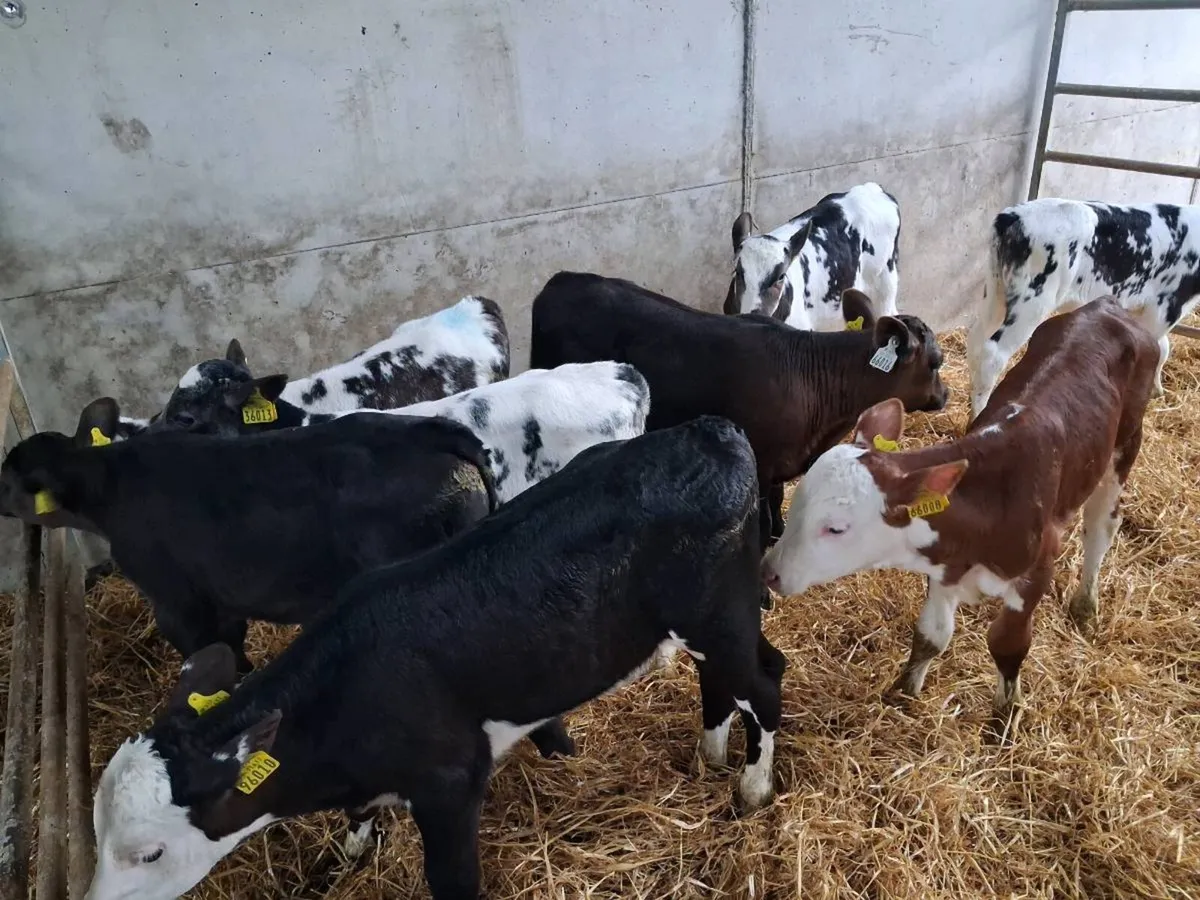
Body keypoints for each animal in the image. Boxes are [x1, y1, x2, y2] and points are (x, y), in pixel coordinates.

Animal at [0, 399, 502, 678]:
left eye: (8, 481)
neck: (110, 484)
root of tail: (437, 431)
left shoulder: (175, 601)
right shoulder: (222, 593)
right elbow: (232, 643)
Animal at [82, 416, 786, 900]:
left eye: (148, 853)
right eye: (95, 833)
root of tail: (708, 431)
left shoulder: (451, 782)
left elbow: (452, 879)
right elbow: (358, 820)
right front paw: (346, 856)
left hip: (719, 615)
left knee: (764, 681)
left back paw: (752, 788)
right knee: (725, 680)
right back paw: (709, 754)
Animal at [530, 271, 948, 552]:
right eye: (936, 361)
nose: (945, 394)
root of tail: (562, 281)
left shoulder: (780, 464)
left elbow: (777, 501)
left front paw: (780, 531)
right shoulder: (758, 464)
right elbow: (758, 523)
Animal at [763, 297, 1158, 722]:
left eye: (836, 528)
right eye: (797, 503)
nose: (769, 572)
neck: (989, 502)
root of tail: (1106, 305)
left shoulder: (1035, 572)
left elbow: (1007, 645)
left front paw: (1005, 714)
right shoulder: (944, 565)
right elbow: (930, 634)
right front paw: (903, 692)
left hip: (1126, 444)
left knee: (1101, 528)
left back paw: (1086, 603)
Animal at [968, 198, 1200, 420]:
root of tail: (1012, 216)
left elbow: (1164, 347)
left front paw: (1158, 389)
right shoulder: (1165, 307)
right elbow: (1156, 347)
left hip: (995, 290)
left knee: (976, 339)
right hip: (1034, 300)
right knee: (993, 353)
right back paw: (979, 415)